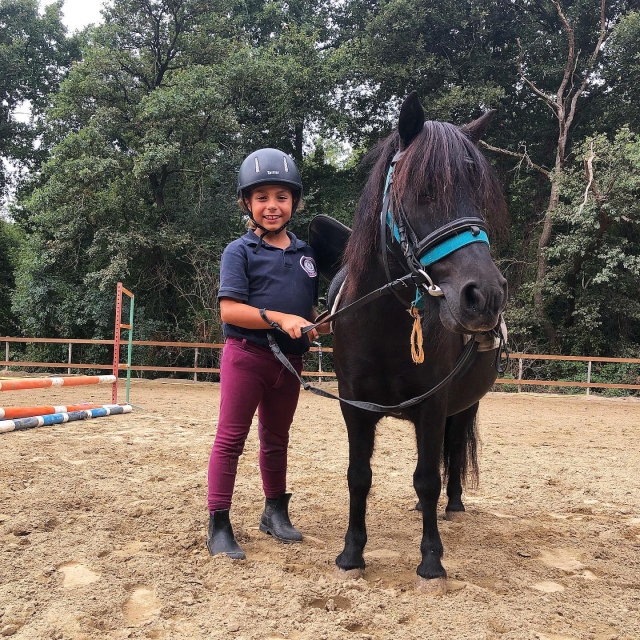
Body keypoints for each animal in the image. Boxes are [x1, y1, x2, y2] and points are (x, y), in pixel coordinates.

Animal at [332, 91, 508, 595]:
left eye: (479, 194)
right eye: (424, 190)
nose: (486, 295)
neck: (385, 322)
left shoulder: (433, 405)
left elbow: (428, 477)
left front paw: (431, 560)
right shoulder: (354, 406)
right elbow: (359, 477)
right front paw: (351, 554)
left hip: (462, 405)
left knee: (452, 452)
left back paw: (454, 505)